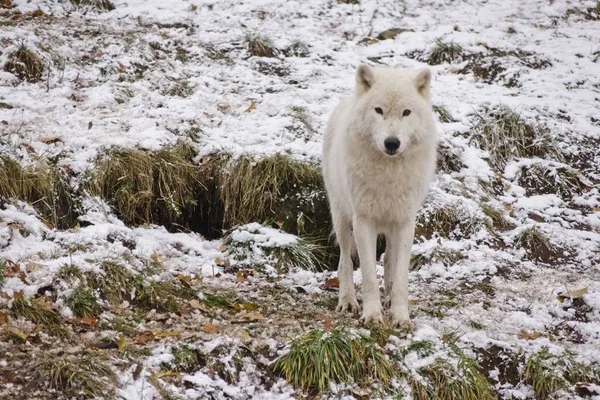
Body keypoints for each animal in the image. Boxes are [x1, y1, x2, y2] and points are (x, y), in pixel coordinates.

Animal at [324, 64, 436, 330]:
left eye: (406, 112)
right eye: (379, 110)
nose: (392, 142)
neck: (389, 174)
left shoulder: (405, 222)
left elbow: (401, 276)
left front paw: (400, 316)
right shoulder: (363, 220)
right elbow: (367, 275)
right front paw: (372, 315)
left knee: (388, 261)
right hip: (342, 217)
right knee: (344, 261)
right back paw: (348, 301)